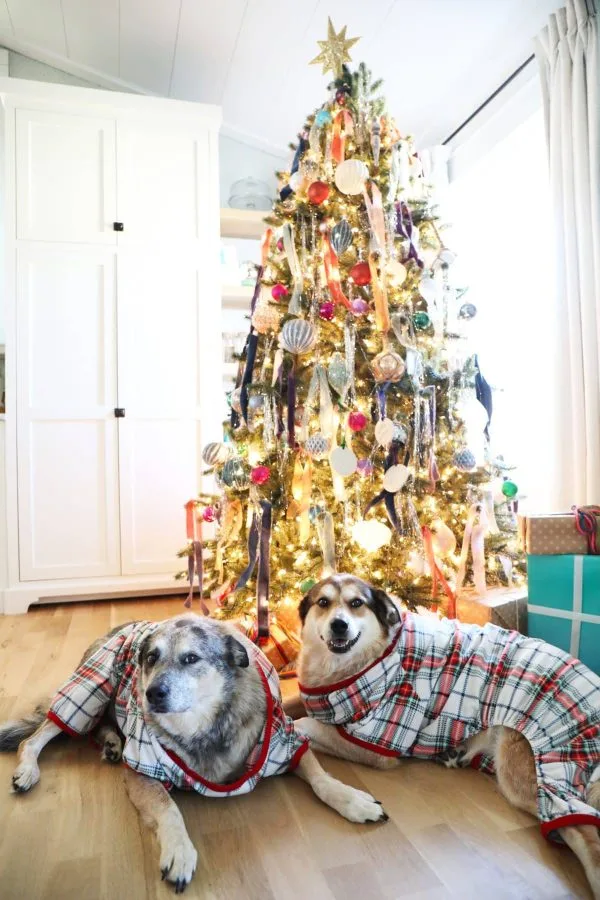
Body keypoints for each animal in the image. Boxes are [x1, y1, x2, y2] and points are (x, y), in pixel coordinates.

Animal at [298, 572, 600, 896]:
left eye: (356, 603)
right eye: (323, 602)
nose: (339, 625)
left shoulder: (376, 743)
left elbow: (304, 724)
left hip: (530, 768)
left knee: (582, 827)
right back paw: (456, 753)